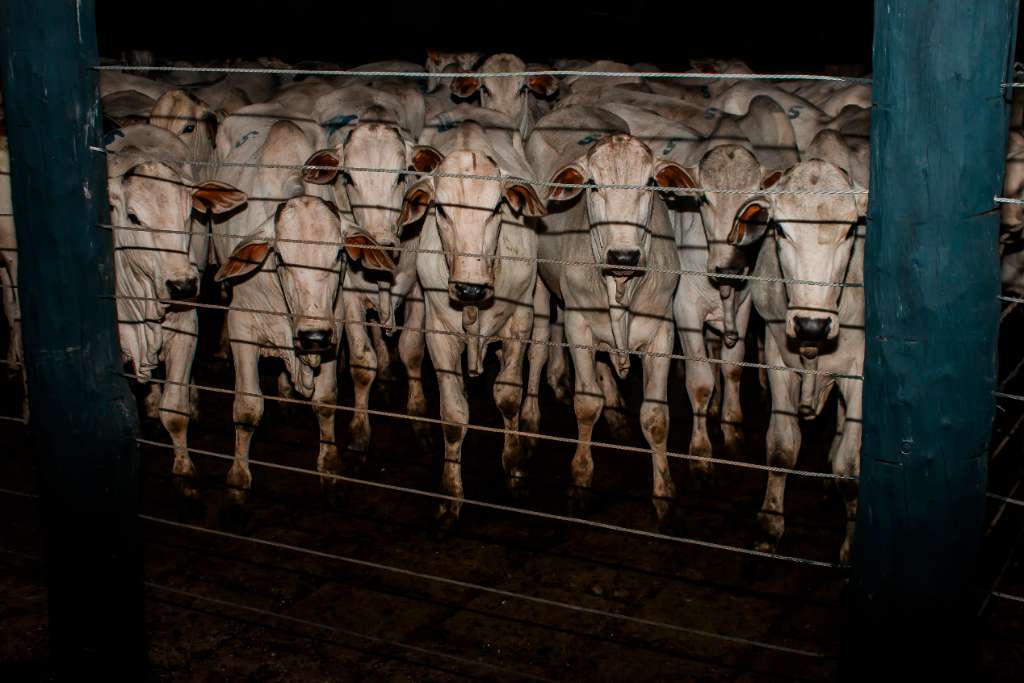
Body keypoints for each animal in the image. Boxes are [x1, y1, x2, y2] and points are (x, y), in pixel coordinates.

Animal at [397, 104, 548, 528]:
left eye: (496, 208)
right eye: (441, 209)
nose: (469, 288)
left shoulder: (520, 321)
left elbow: (508, 396)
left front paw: (515, 468)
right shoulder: (439, 332)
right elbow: (453, 414)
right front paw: (450, 496)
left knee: (539, 357)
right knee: (408, 347)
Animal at [528, 107, 688, 520]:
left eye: (649, 183)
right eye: (593, 185)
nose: (624, 255)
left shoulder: (662, 332)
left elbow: (655, 416)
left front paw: (664, 492)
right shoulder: (578, 326)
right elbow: (586, 405)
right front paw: (581, 478)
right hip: (539, 287)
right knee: (536, 349)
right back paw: (529, 420)